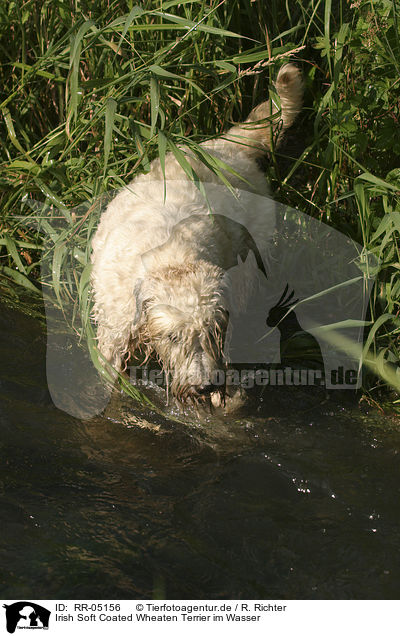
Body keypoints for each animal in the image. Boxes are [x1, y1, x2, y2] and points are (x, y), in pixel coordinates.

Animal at [90, 63, 304, 402]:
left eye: (213, 331)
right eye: (174, 337)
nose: (204, 386)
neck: (171, 259)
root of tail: (225, 146)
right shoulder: (114, 334)